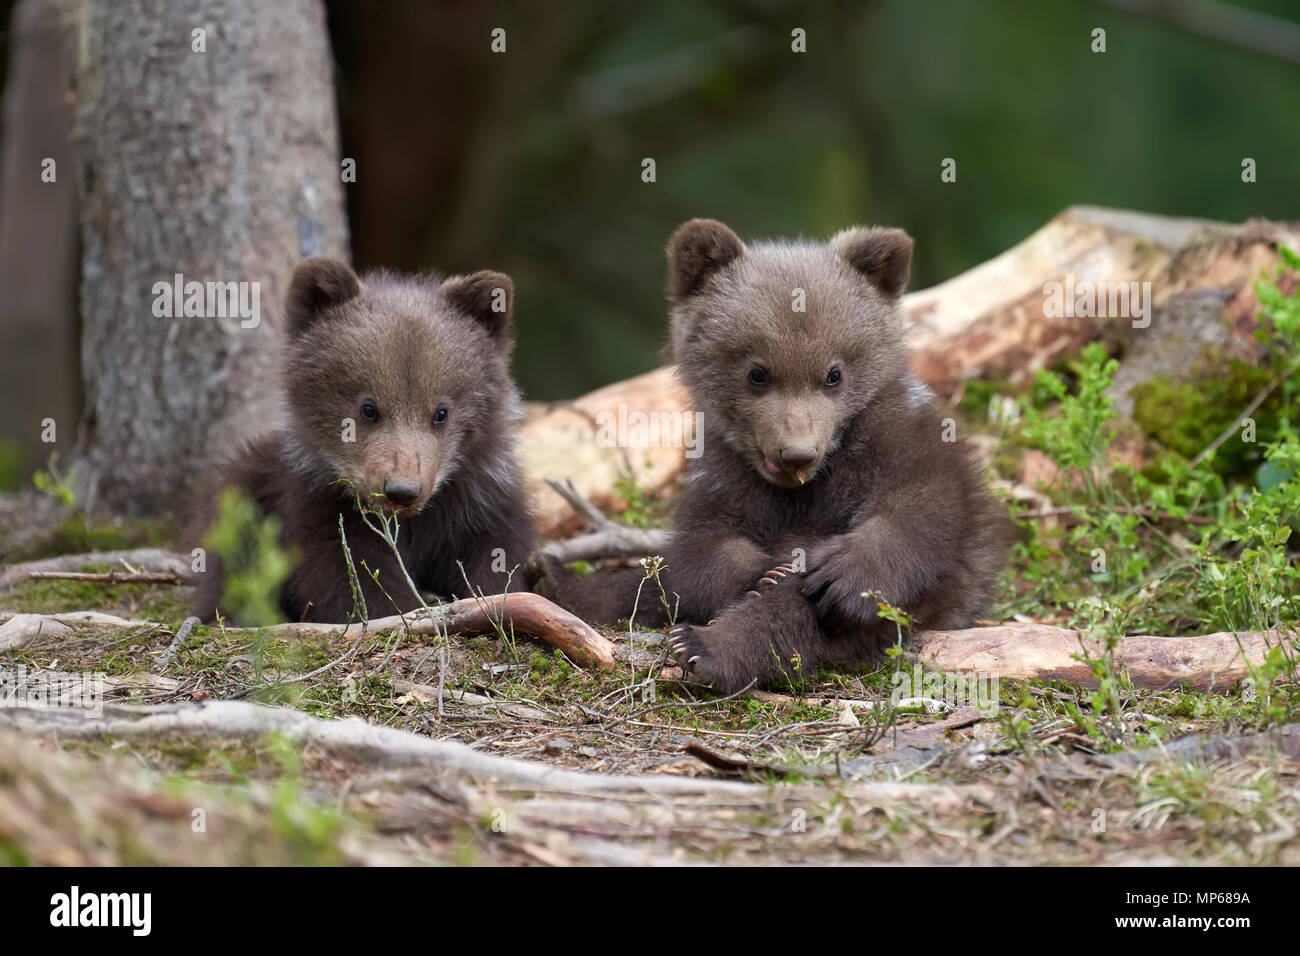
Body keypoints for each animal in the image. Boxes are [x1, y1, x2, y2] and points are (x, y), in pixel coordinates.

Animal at [190, 257, 534, 624]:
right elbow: (348, 574)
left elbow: (494, 558)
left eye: (441, 412)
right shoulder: (317, 504)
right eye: (368, 408)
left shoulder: (479, 502)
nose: (401, 489)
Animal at [529, 219, 1011, 693]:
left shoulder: (900, 441)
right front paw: (769, 566)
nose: (797, 452)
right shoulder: (723, 470)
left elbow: (919, 508)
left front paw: (840, 577)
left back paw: (705, 646)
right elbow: (704, 545)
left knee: (796, 615)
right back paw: (558, 580)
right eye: (757, 372)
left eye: (834, 374)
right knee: (651, 580)